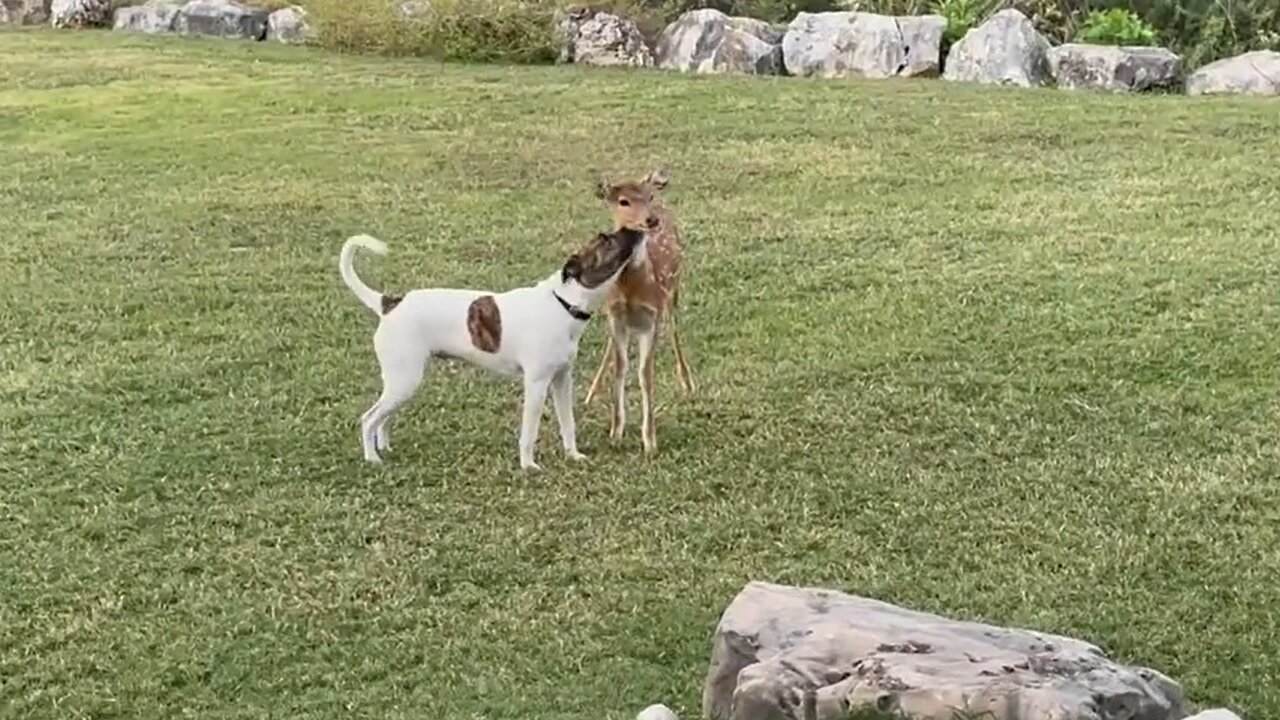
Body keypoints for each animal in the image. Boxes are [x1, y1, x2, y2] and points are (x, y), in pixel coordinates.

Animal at [340, 225, 650, 471]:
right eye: (606, 238)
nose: (636, 228)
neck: (562, 302)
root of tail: (389, 303)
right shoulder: (536, 383)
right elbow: (529, 432)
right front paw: (528, 465)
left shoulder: (562, 380)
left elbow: (568, 424)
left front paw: (573, 455)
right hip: (405, 380)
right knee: (369, 419)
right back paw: (372, 458)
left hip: (403, 382)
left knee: (383, 419)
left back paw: (384, 448)